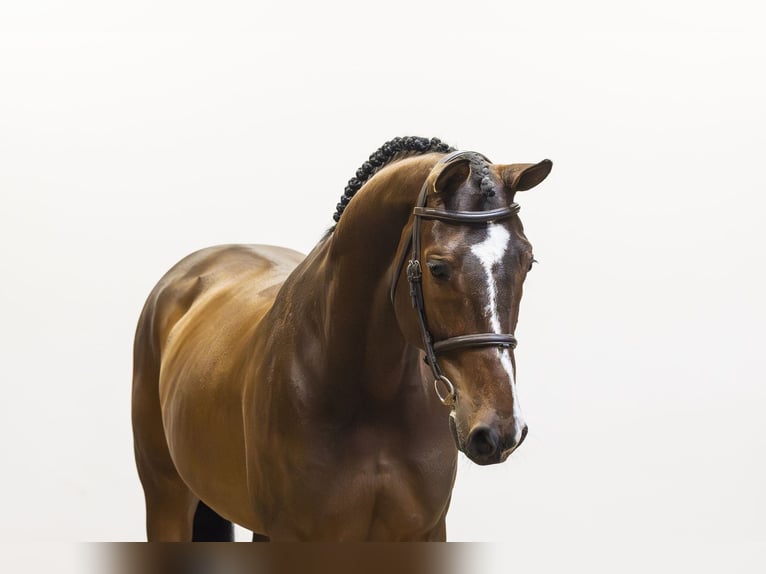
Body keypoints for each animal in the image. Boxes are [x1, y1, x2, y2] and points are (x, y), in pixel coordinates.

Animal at [131, 136, 552, 541]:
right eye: (437, 268)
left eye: (527, 262)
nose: (500, 429)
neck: (371, 397)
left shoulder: (425, 533)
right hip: (167, 498)